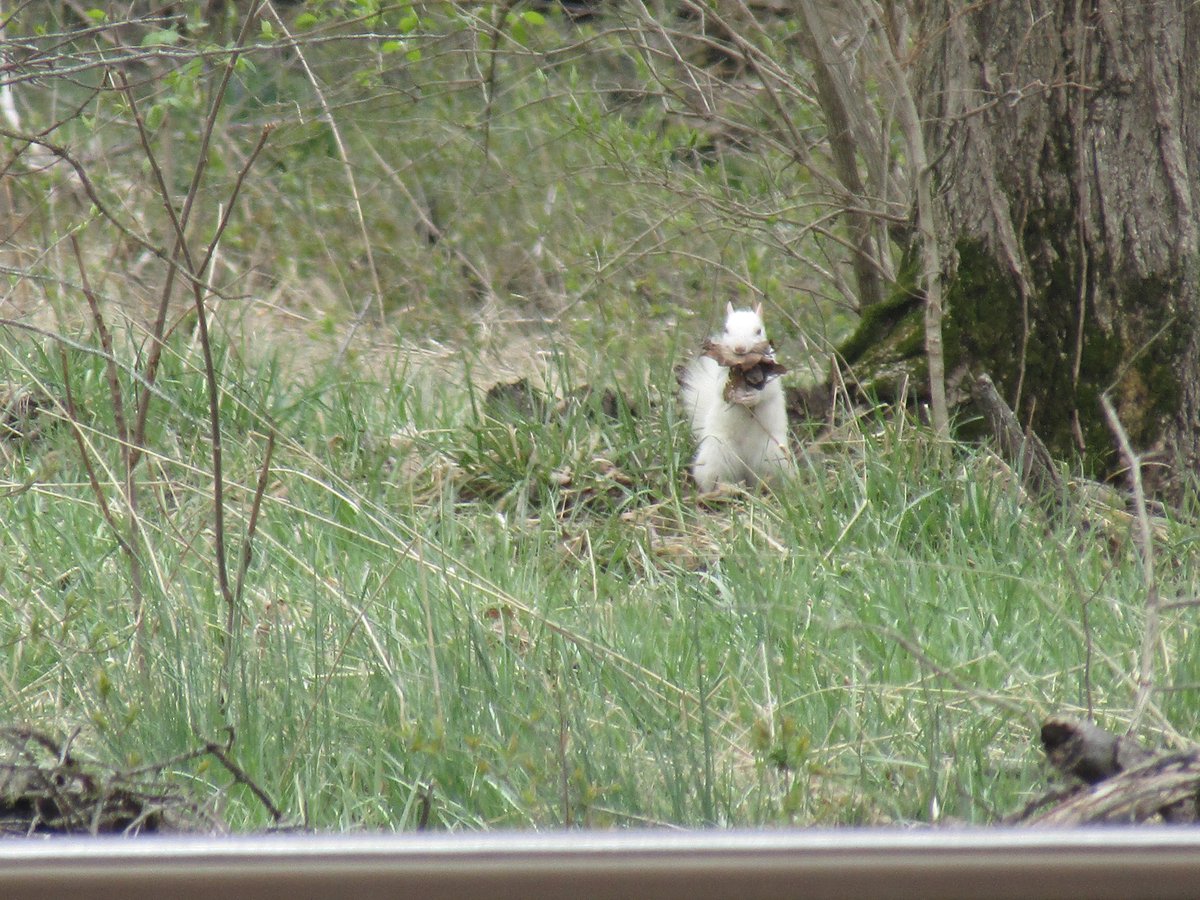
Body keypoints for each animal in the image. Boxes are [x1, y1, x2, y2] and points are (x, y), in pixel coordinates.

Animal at [679, 302, 792, 492]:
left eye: (758, 330)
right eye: (726, 329)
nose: (739, 348)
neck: (745, 369)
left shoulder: (773, 377)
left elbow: (767, 392)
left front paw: (752, 397)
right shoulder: (722, 375)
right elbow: (721, 390)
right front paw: (736, 396)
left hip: (773, 455)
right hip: (718, 452)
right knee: (714, 480)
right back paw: (727, 488)